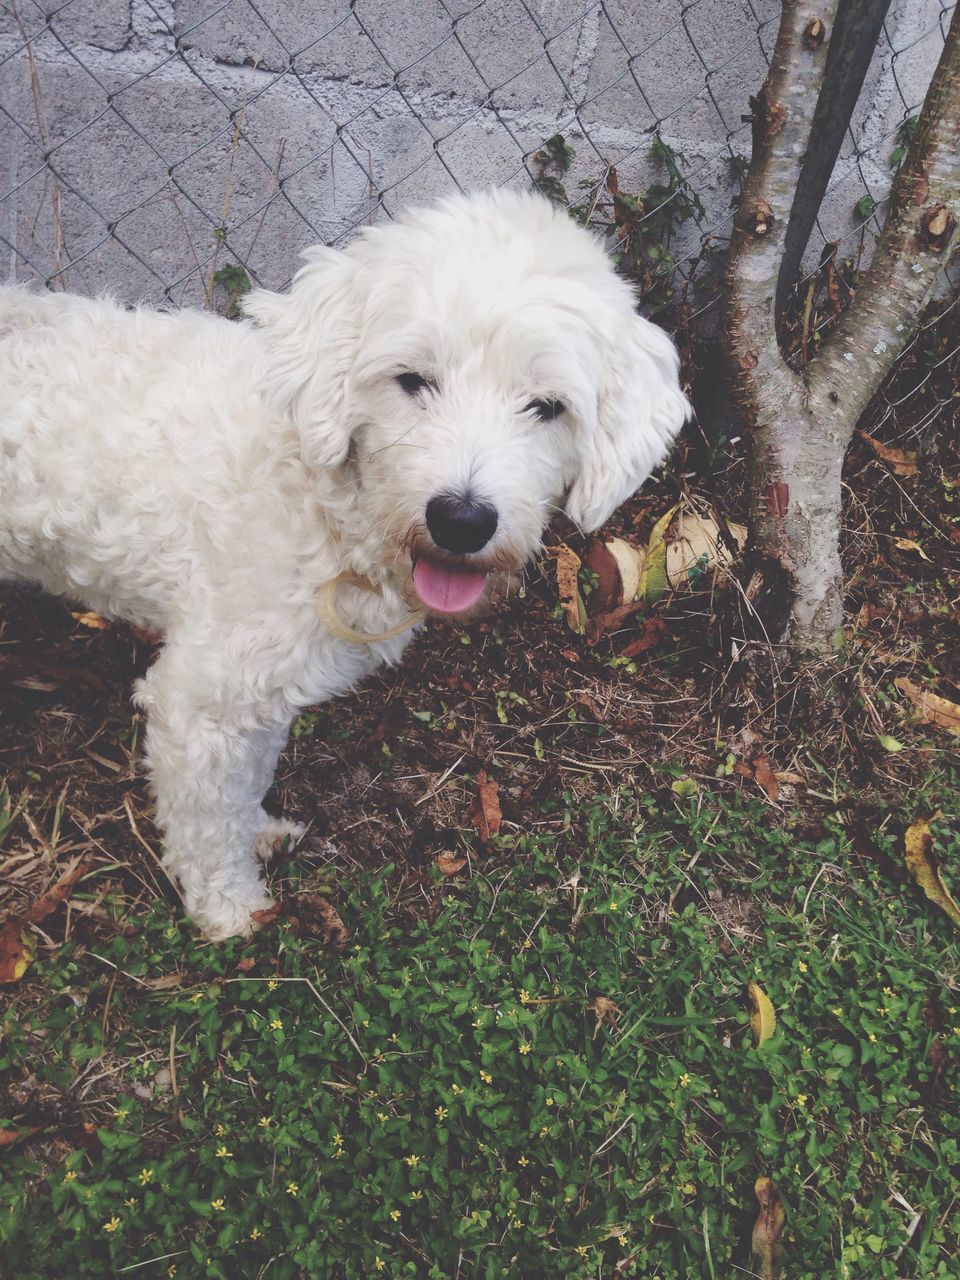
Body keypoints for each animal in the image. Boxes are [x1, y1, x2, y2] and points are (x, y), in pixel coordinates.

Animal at [0, 189, 691, 942]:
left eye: (547, 406)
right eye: (412, 380)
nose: (462, 520)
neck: (322, 498)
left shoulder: (264, 691)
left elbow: (244, 786)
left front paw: (257, 834)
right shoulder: (202, 702)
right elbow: (205, 820)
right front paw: (231, 910)